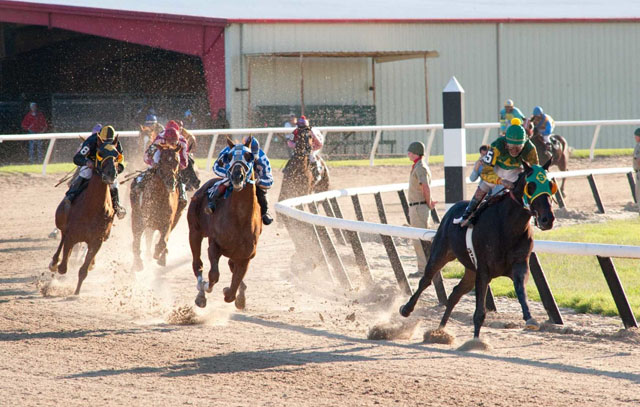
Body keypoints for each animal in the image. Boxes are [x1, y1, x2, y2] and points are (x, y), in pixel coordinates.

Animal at [48, 139, 122, 294]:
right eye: (100, 153)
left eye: (116, 154)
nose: (111, 174)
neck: (93, 208)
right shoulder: (72, 236)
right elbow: (63, 267)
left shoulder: (97, 240)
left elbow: (83, 270)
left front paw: (76, 293)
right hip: (62, 222)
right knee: (62, 239)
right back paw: (53, 262)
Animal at [188, 136, 262, 310]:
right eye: (228, 157)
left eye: (249, 156)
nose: (236, 176)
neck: (240, 218)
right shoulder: (214, 245)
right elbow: (213, 275)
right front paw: (205, 288)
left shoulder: (246, 256)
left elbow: (232, 290)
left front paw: (235, 294)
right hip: (194, 231)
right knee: (197, 264)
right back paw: (201, 292)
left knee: (230, 266)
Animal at [400, 161, 556, 346]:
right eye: (531, 186)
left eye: (550, 185)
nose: (548, 219)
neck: (507, 227)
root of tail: (453, 207)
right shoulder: (484, 270)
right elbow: (479, 312)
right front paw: (475, 342)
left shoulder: (519, 264)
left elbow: (521, 290)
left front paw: (530, 318)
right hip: (441, 253)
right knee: (426, 280)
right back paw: (406, 309)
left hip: (470, 270)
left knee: (455, 293)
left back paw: (439, 331)